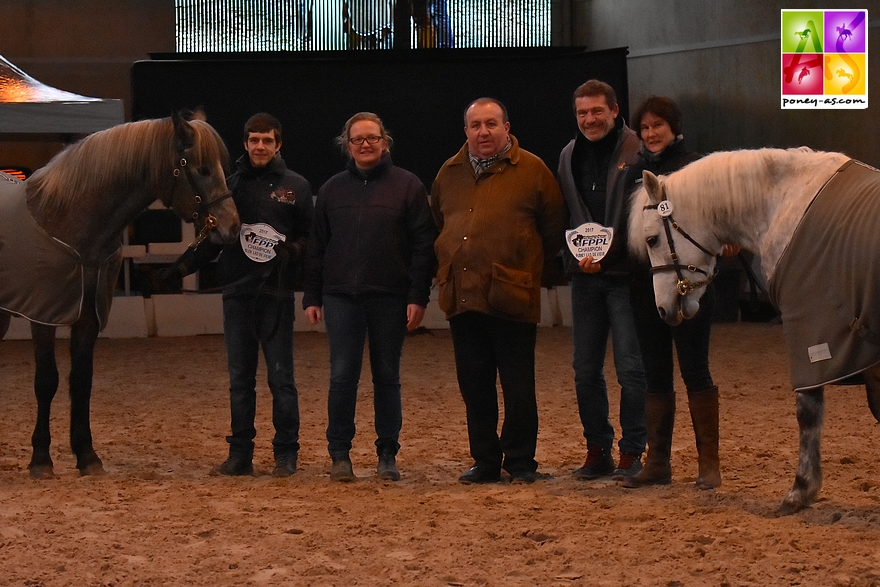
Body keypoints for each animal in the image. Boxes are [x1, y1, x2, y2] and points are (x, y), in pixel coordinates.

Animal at [628, 148, 880, 516]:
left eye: (652, 239)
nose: (663, 309)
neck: (788, 202)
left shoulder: (812, 333)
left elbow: (808, 410)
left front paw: (800, 490)